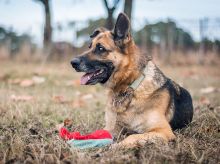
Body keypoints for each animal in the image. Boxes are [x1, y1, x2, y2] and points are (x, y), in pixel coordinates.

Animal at [70, 12, 192, 149]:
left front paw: (116, 146)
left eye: (100, 48)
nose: (72, 63)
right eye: (89, 47)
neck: (128, 88)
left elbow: (133, 136)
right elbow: (97, 133)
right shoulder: (111, 127)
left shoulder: (163, 131)